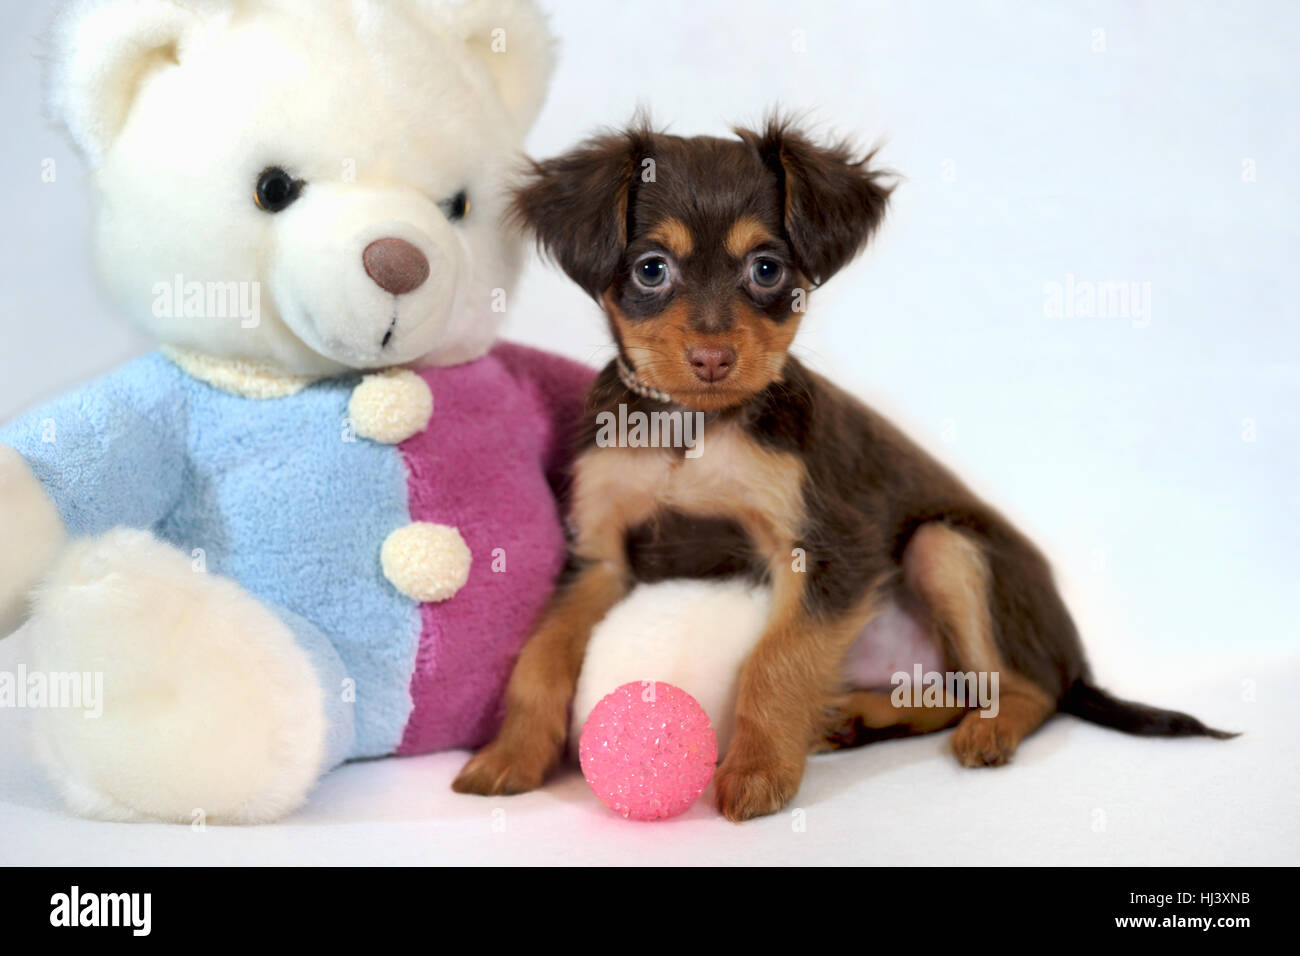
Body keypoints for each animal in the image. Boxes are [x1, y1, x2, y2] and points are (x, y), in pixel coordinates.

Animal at [452, 117, 1232, 822]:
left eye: (767, 269)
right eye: (651, 269)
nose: (712, 359)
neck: (691, 427)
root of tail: (1076, 657)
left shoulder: (832, 550)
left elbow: (777, 659)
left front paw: (759, 770)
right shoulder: (599, 559)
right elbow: (540, 659)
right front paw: (510, 754)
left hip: (944, 546)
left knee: (1024, 688)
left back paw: (987, 731)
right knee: (951, 691)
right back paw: (859, 718)